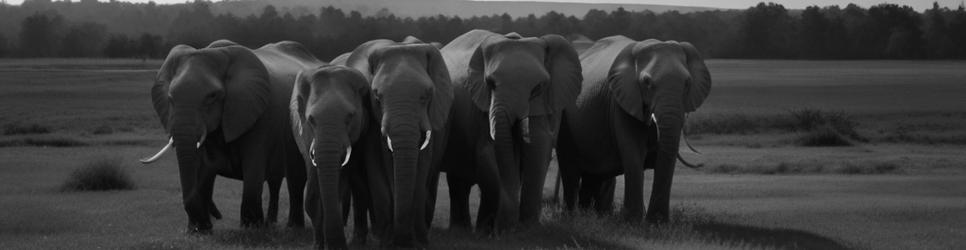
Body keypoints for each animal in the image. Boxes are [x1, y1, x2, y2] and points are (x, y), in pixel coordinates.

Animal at [141, 40, 314, 233]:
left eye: (212, 96)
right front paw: (199, 231)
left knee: (295, 179)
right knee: (277, 180)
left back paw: (292, 227)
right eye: (170, 98)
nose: (217, 216)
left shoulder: (258, 114)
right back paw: (273, 224)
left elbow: (253, 166)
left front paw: (252, 229)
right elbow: (201, 167)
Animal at [290, 64, 372, 248]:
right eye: (311, 119)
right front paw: (318, 246)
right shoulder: (306, 135)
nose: (340, 247)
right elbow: (313, 195)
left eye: (350, 117)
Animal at [342, 36, 456, 247]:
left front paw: (419, 242)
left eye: (427, 95)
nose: (402, 241)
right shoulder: (373, 123)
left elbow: (421, 169)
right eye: (377, 97)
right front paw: (387, 242)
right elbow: (376, 168)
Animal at [438, 29, 584, 230]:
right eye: (490, 83)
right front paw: (501, 228)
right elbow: (488, 155)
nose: (507, 225)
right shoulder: (480, 106)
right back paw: (465, 230)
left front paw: (528, 228)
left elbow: (540, 146)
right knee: (460, 181)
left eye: (538, 87)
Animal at [556, 35, 716, 223]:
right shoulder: (621, 101)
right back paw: (572, 217)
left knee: (594, 177)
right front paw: (632, 221)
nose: (701, 161)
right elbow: (633, 151)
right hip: (565, 121)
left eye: (687, 83)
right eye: (647, 82)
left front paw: (657, 223)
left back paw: (592, 216)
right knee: (570, 169)